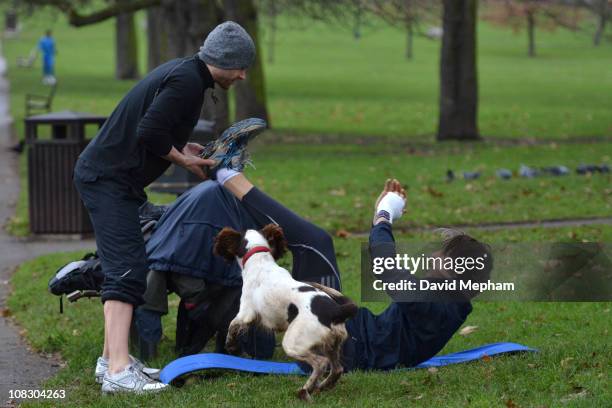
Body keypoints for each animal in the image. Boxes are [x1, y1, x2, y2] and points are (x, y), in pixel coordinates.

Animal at [215, 225, 358, 400]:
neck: (259, 258)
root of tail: (336, 310)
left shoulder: (245, 312)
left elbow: (232, 325)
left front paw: (232, 347)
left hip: (293, 343)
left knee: (320, 363)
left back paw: (306, 390)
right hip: (331, 344)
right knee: (337, 369)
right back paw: (323, 386)